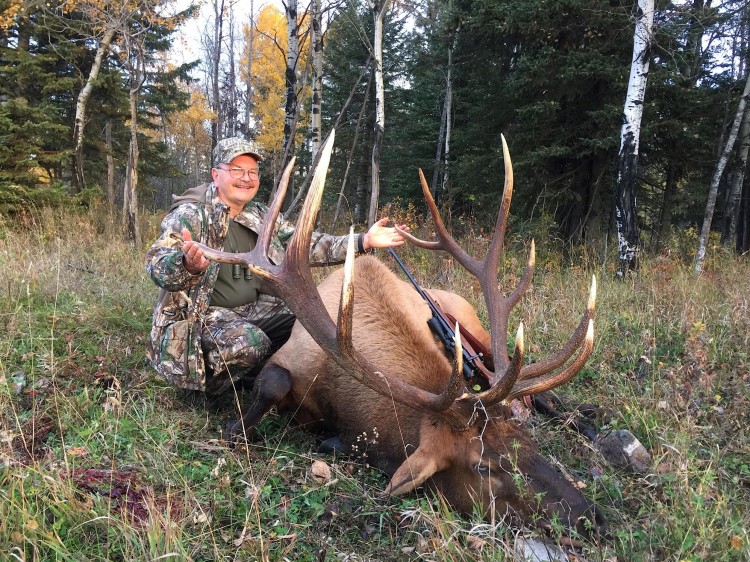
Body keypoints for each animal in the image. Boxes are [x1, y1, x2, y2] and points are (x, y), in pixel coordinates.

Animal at [191, 132, 606, 537]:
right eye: (484, 466)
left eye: (528, 442)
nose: (592, 517)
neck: (343, 397)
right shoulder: (285, 361)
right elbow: (273, 385)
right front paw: (240, 428)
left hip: (478, 332)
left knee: (539, 393)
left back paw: (586, 419)